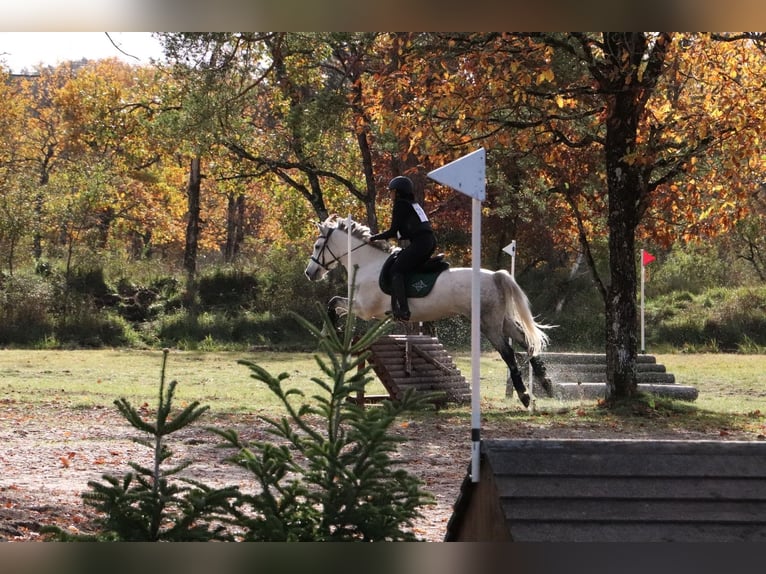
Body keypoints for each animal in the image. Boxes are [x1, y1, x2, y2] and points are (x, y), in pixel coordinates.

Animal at [303, 215, 553, 407]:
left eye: (317, 246)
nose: (310, 273)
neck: (368, 264)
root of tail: (494, 276)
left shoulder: (364, 308)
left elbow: (334, 302)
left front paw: (329, 333)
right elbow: (336, 303)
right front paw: (332, 332)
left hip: (488, 323)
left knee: (508, 352)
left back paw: (524, 395)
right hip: (502, 320)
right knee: (526, 342)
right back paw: (546, 383)